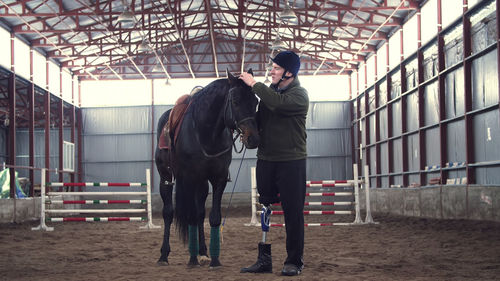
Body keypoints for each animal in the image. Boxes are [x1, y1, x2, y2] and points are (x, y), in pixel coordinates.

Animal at [155, 69, 258, 266]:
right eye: (235, 101)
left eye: (255, 101)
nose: (253, 138)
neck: (207, 133)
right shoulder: (188, 178)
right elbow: (190, 216)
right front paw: (192, 259)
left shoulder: (218, 179)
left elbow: (213, 217)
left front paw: (214, 259)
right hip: (166, 178)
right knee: (169, 213)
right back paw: (164, 255)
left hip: (201, 184)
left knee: (200, 213)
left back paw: (202, 251)